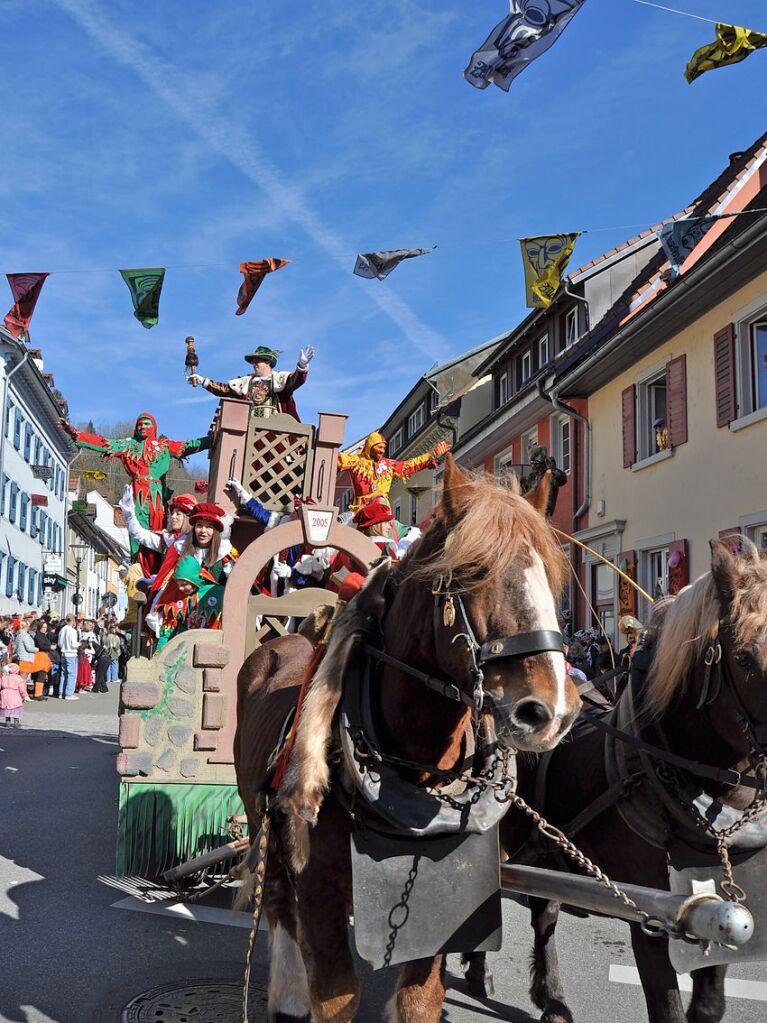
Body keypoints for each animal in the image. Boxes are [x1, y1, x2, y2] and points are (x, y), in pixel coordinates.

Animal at [236, 460, 580, 1023]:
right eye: (471, 572)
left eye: (553, 579)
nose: (551, 711)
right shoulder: (319, 883)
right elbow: (336, 993)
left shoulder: (440, 897)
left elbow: (421, 997)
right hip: (263, 816)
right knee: (278, 900)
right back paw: (287, 996)